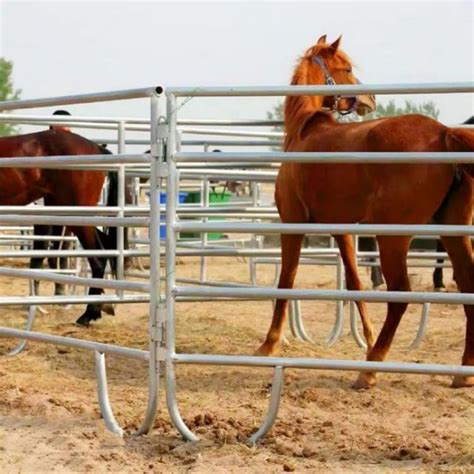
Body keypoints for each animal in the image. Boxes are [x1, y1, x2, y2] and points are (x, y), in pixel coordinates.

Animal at [256, 34, 474, 388]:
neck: (304, 130)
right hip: (452, 230)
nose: (370, 99)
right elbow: (355, 283)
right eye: (346, 68)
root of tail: (443, 133)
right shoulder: (341, 229)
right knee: (467, 284)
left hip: (393, 237)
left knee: (401, 294)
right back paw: (463, 372)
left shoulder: (293, 223)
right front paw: (367, 337)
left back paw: (370, 368)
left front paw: (269, 344)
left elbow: (286, 281)